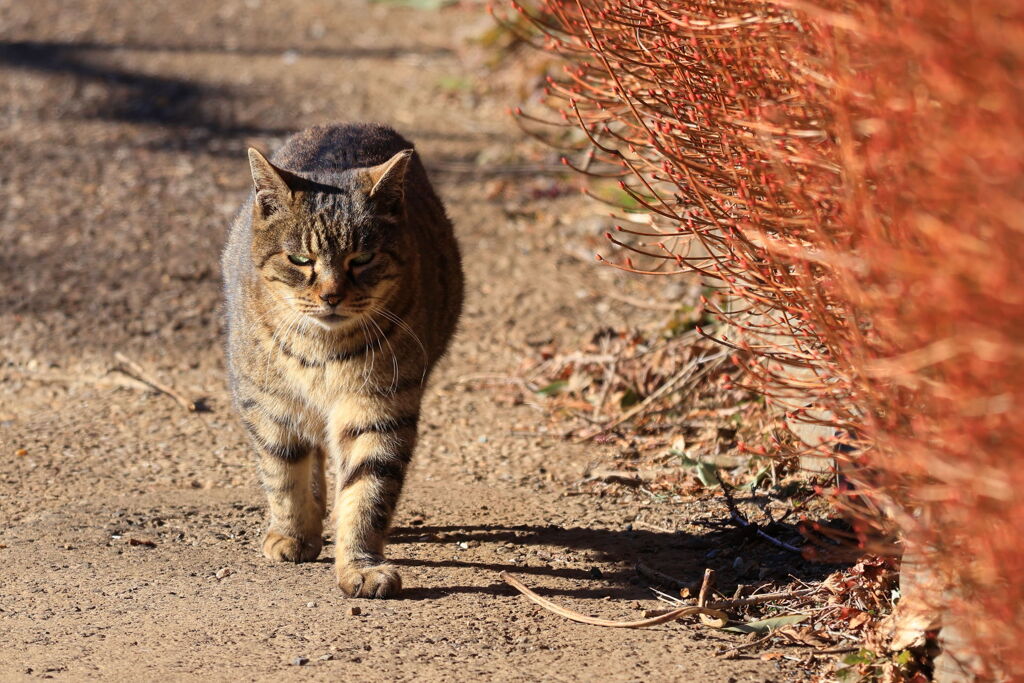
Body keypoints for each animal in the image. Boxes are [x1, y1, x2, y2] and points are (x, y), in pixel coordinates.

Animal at [226, 122, 466, 598]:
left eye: (363, 258)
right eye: (300, 259)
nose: (331, 295)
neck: (323, 354)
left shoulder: (379, 407)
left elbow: (366, 492)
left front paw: (359, 564)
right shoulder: (268, 404)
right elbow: (283, 475)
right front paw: (293, 533)